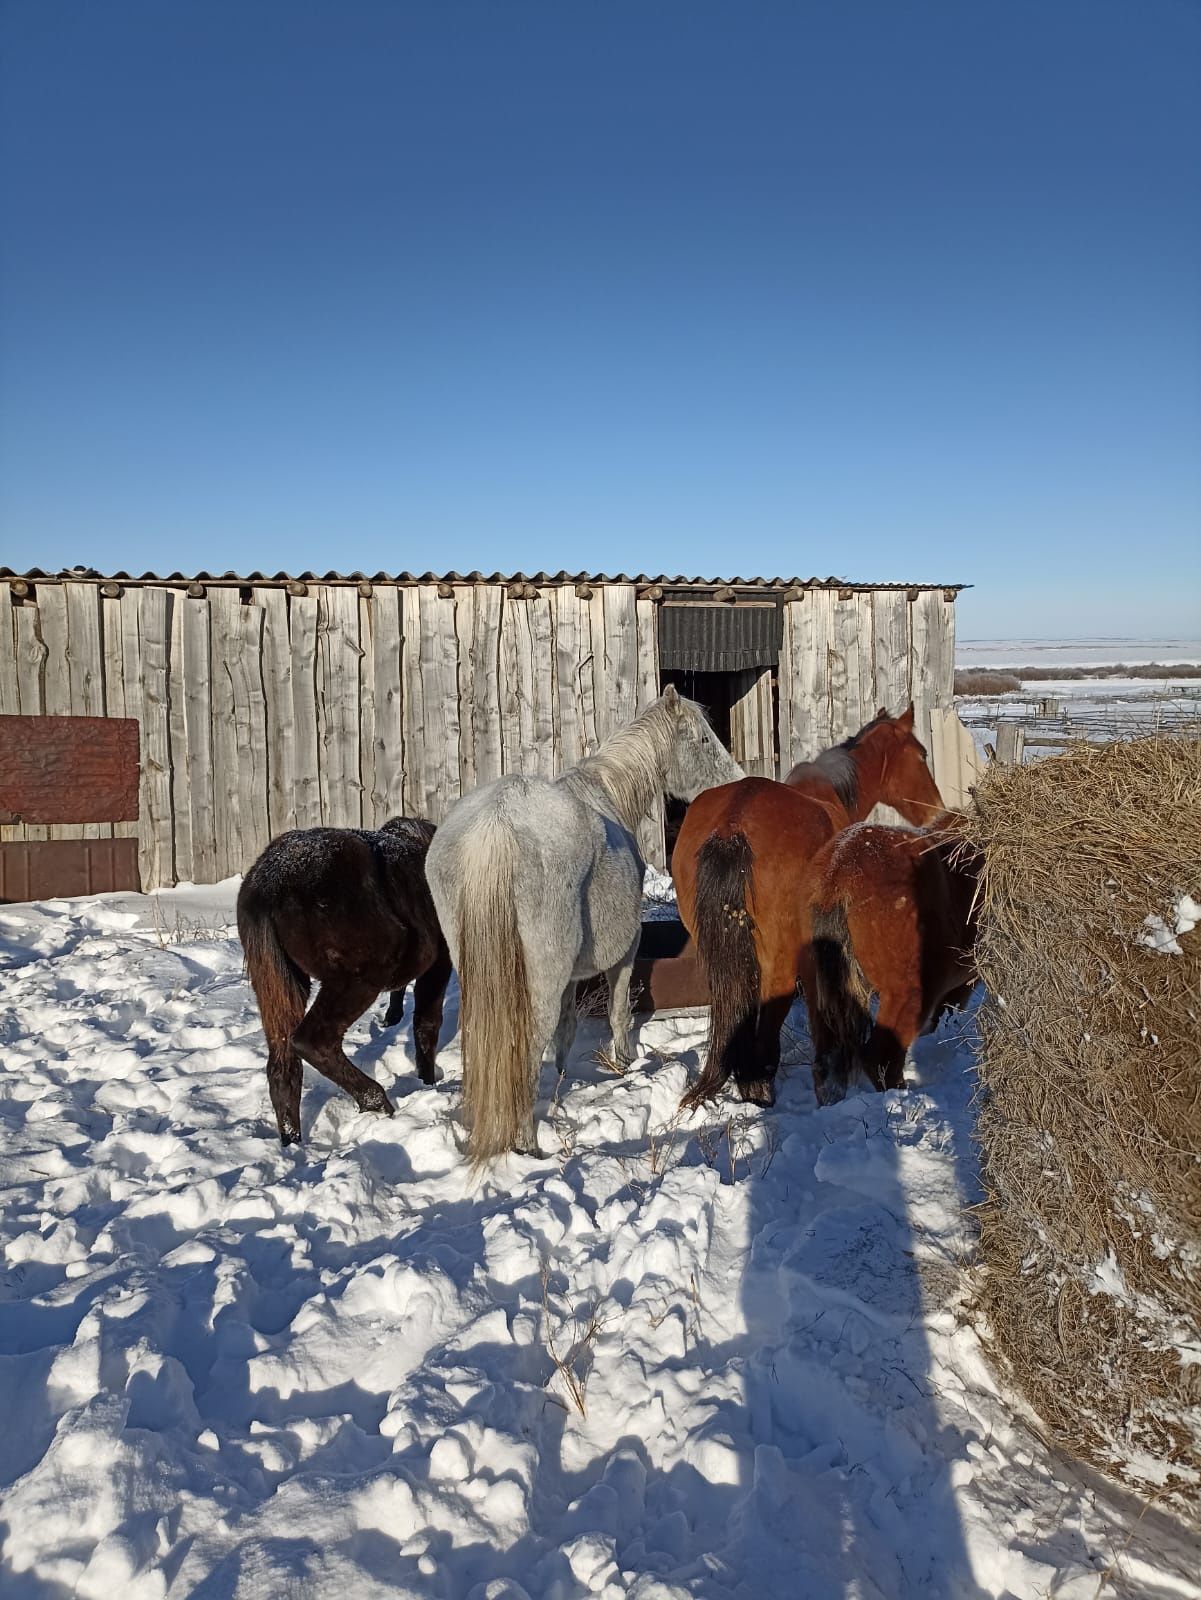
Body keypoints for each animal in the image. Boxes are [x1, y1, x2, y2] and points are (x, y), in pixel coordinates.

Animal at [236, 819, 454, 1145]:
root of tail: (267, 885)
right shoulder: (440, 962)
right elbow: (426, 1026)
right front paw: (428, 1083)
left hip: (278, 984)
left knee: (282, 1067)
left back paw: (293, 1143)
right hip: (357, 980)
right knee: (313, 1042)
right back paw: (377, 1102)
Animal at [422, 688, 742, 1164]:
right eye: (703, 739)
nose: (736, 780)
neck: (604, 790)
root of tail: (497, 825)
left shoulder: (571, 977)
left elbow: (568, 1030)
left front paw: (560, 1081)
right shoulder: (625, 950)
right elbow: (616, 1011)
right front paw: (623, 1063)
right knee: (527, 1046)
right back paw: (526, 1143)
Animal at [802, 812, 978, 1100]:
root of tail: (839, 869)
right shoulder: (962, 985)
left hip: (817, 994)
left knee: (824, 1066)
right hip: (909, 993)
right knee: (881, 1058)